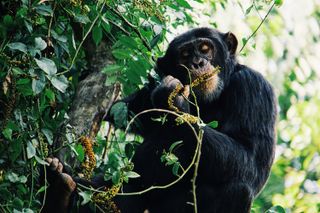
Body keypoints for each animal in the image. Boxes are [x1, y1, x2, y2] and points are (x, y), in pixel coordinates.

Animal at [42, 27, 278, 212]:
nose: (197, 62)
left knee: (239, 189)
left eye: (205, 49)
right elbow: (117, 108)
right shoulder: (146, 94)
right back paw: (63, 186)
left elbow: (252, 159)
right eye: (185, 55)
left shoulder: (253, 88)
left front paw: (174, 101)